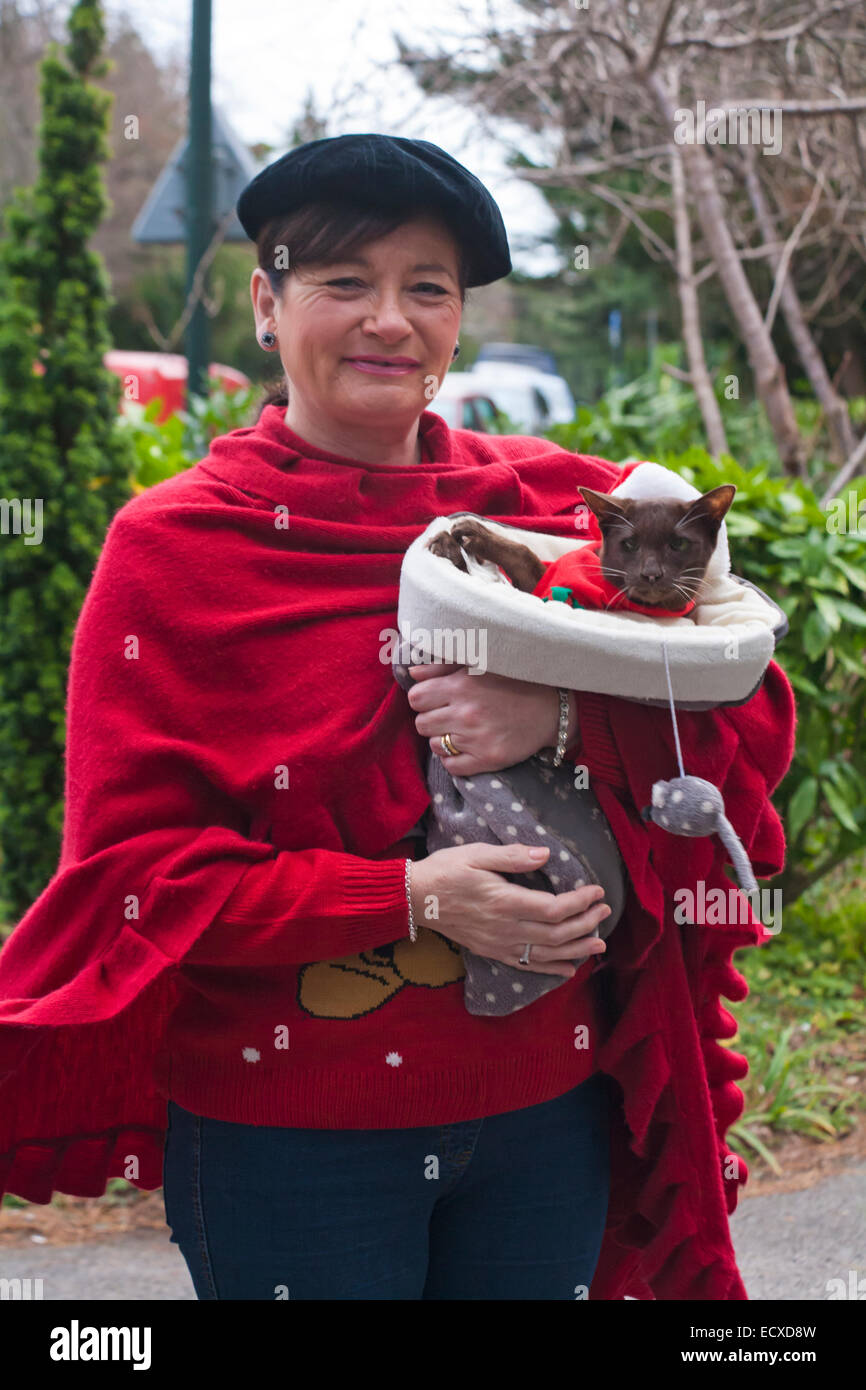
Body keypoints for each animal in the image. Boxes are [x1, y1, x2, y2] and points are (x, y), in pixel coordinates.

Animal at [430, 483, 733, 614]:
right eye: (630, 544)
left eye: (678, 544)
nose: (651, 574)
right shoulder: (540, 582)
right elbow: (524, 554)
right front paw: (464, 535)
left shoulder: (544, 592)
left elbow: (524, 554)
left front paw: (460, 538)